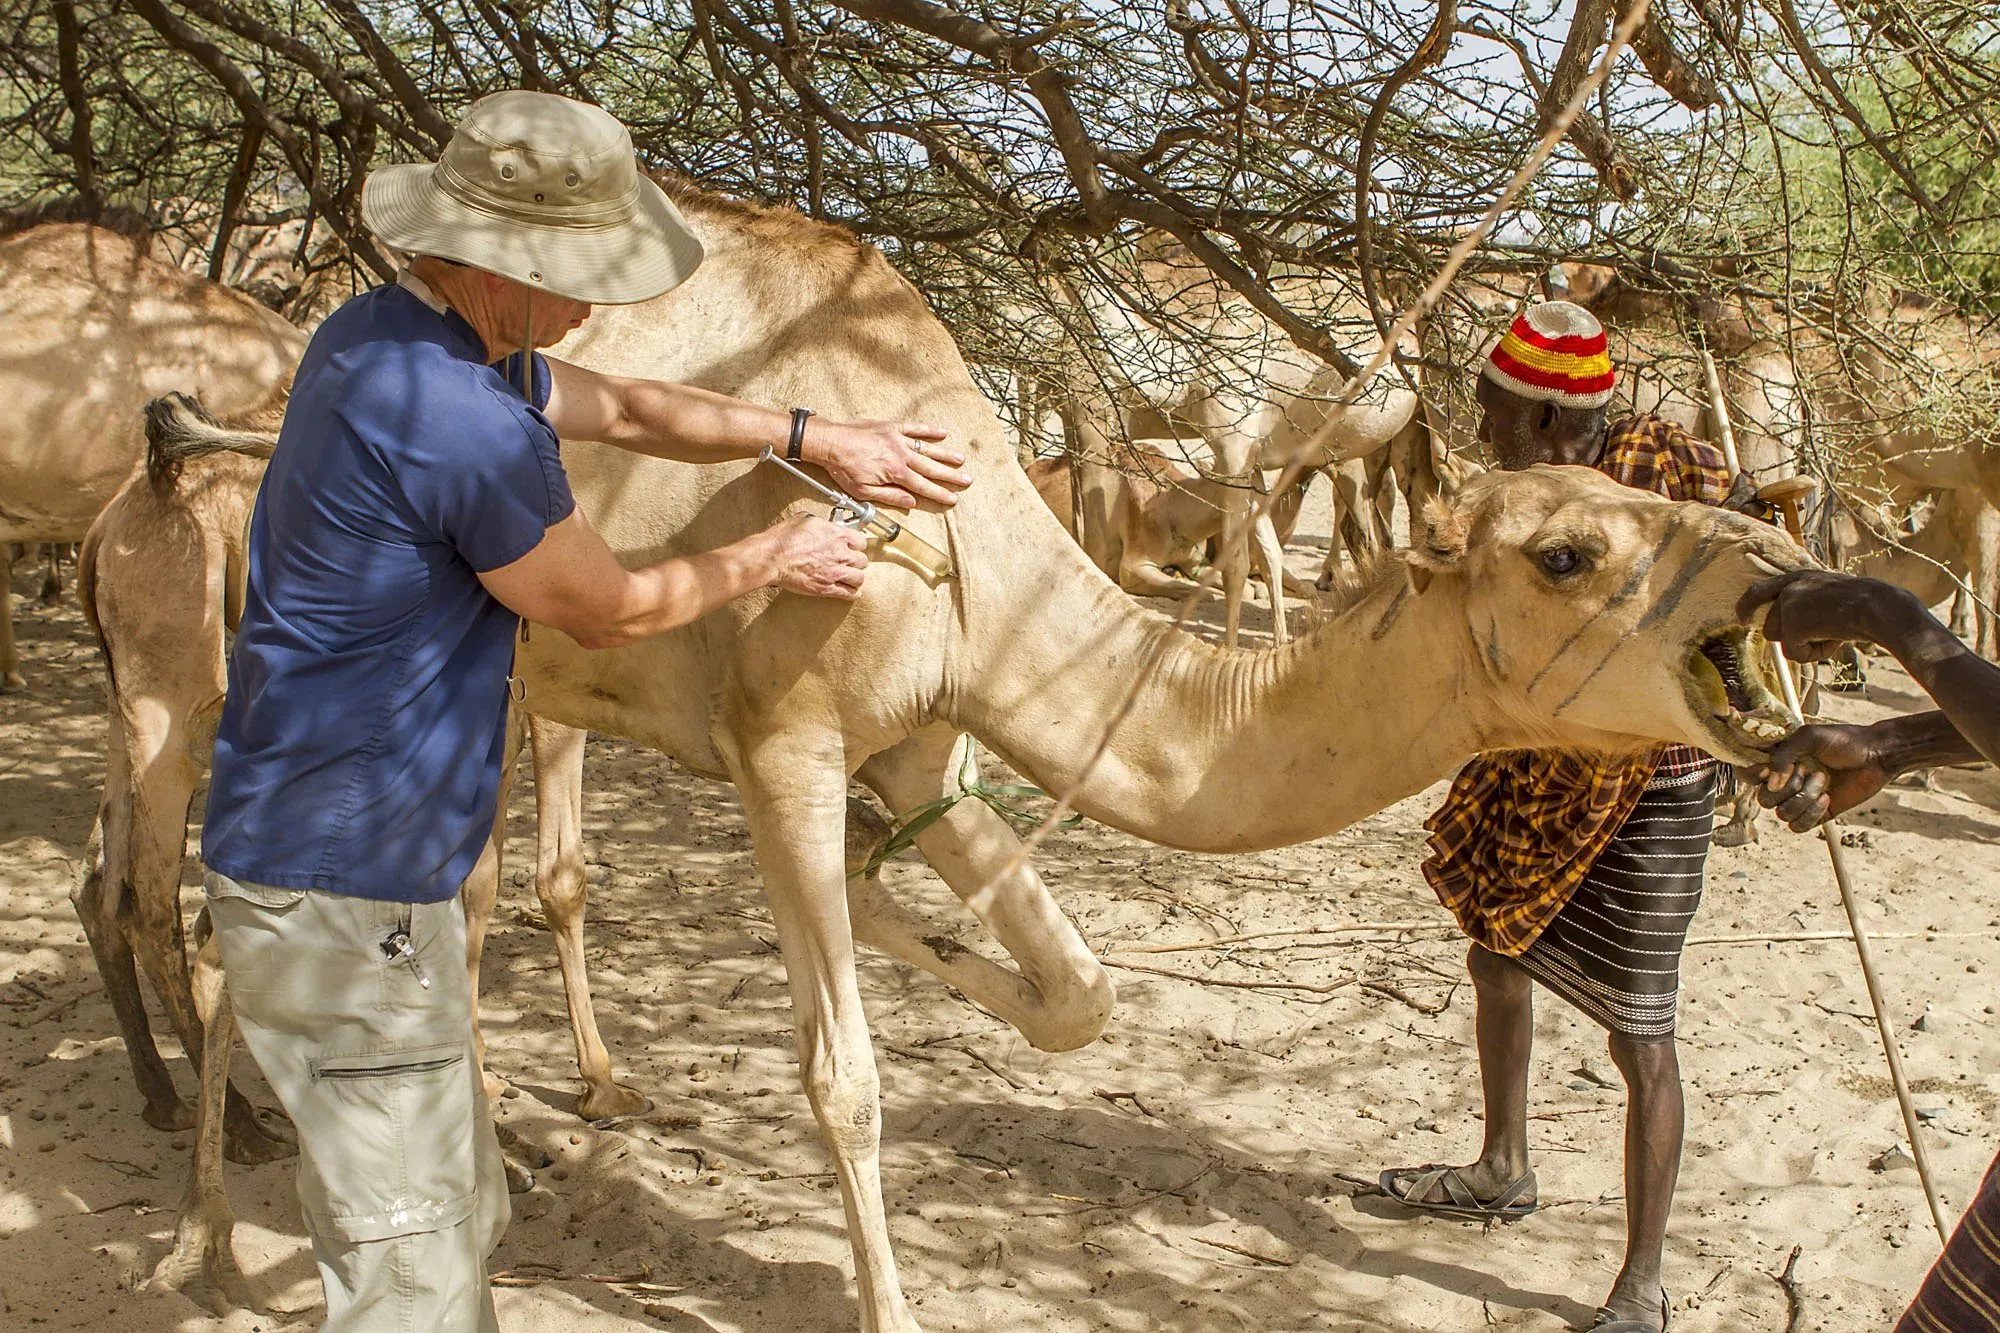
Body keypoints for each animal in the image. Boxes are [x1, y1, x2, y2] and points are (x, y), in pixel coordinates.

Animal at [129, 181, 1807, 1333]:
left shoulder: (922, 748)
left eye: (1654, 500)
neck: (974, 545)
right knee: (215, 906)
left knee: (453, 904)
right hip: (257, 646)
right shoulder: (788, 744)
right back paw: (205, 1242)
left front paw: (905, 919)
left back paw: (514, 1157)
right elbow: (844, 1073)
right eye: (1572, 552)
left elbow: (1081, 993)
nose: (1776, 569)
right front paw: (889, 1297)